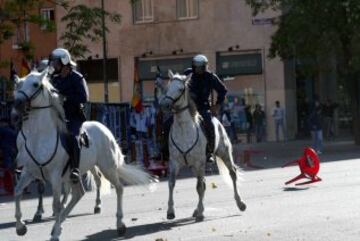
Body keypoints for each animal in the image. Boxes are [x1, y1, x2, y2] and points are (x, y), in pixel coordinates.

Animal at [13, 70, 157, 241]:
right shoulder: (29, 172)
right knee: (78, 194)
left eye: (35, 84)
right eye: (19, 84)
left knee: (119, 188)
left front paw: (54, 233)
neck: (38, 137)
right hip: (74, 175)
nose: (17, 103)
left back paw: (120, 224)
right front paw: (21, 227)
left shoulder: (55, 176)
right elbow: (18, 191)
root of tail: (104, 129)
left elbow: (56, 204)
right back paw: (60, 224)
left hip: (107, 168)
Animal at [159, 70, 246, 222]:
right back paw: (198, 209)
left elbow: (199, 187)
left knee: (232, 173)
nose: (165, 104)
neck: (184, 129)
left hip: (224, 153)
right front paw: (170, 211)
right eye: (168, 87)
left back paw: (240, 203)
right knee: (204, 183)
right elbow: (171, 183)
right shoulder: (174, 162)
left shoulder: (199, 162)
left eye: (181, 89)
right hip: (194, 166)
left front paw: (200, 214)